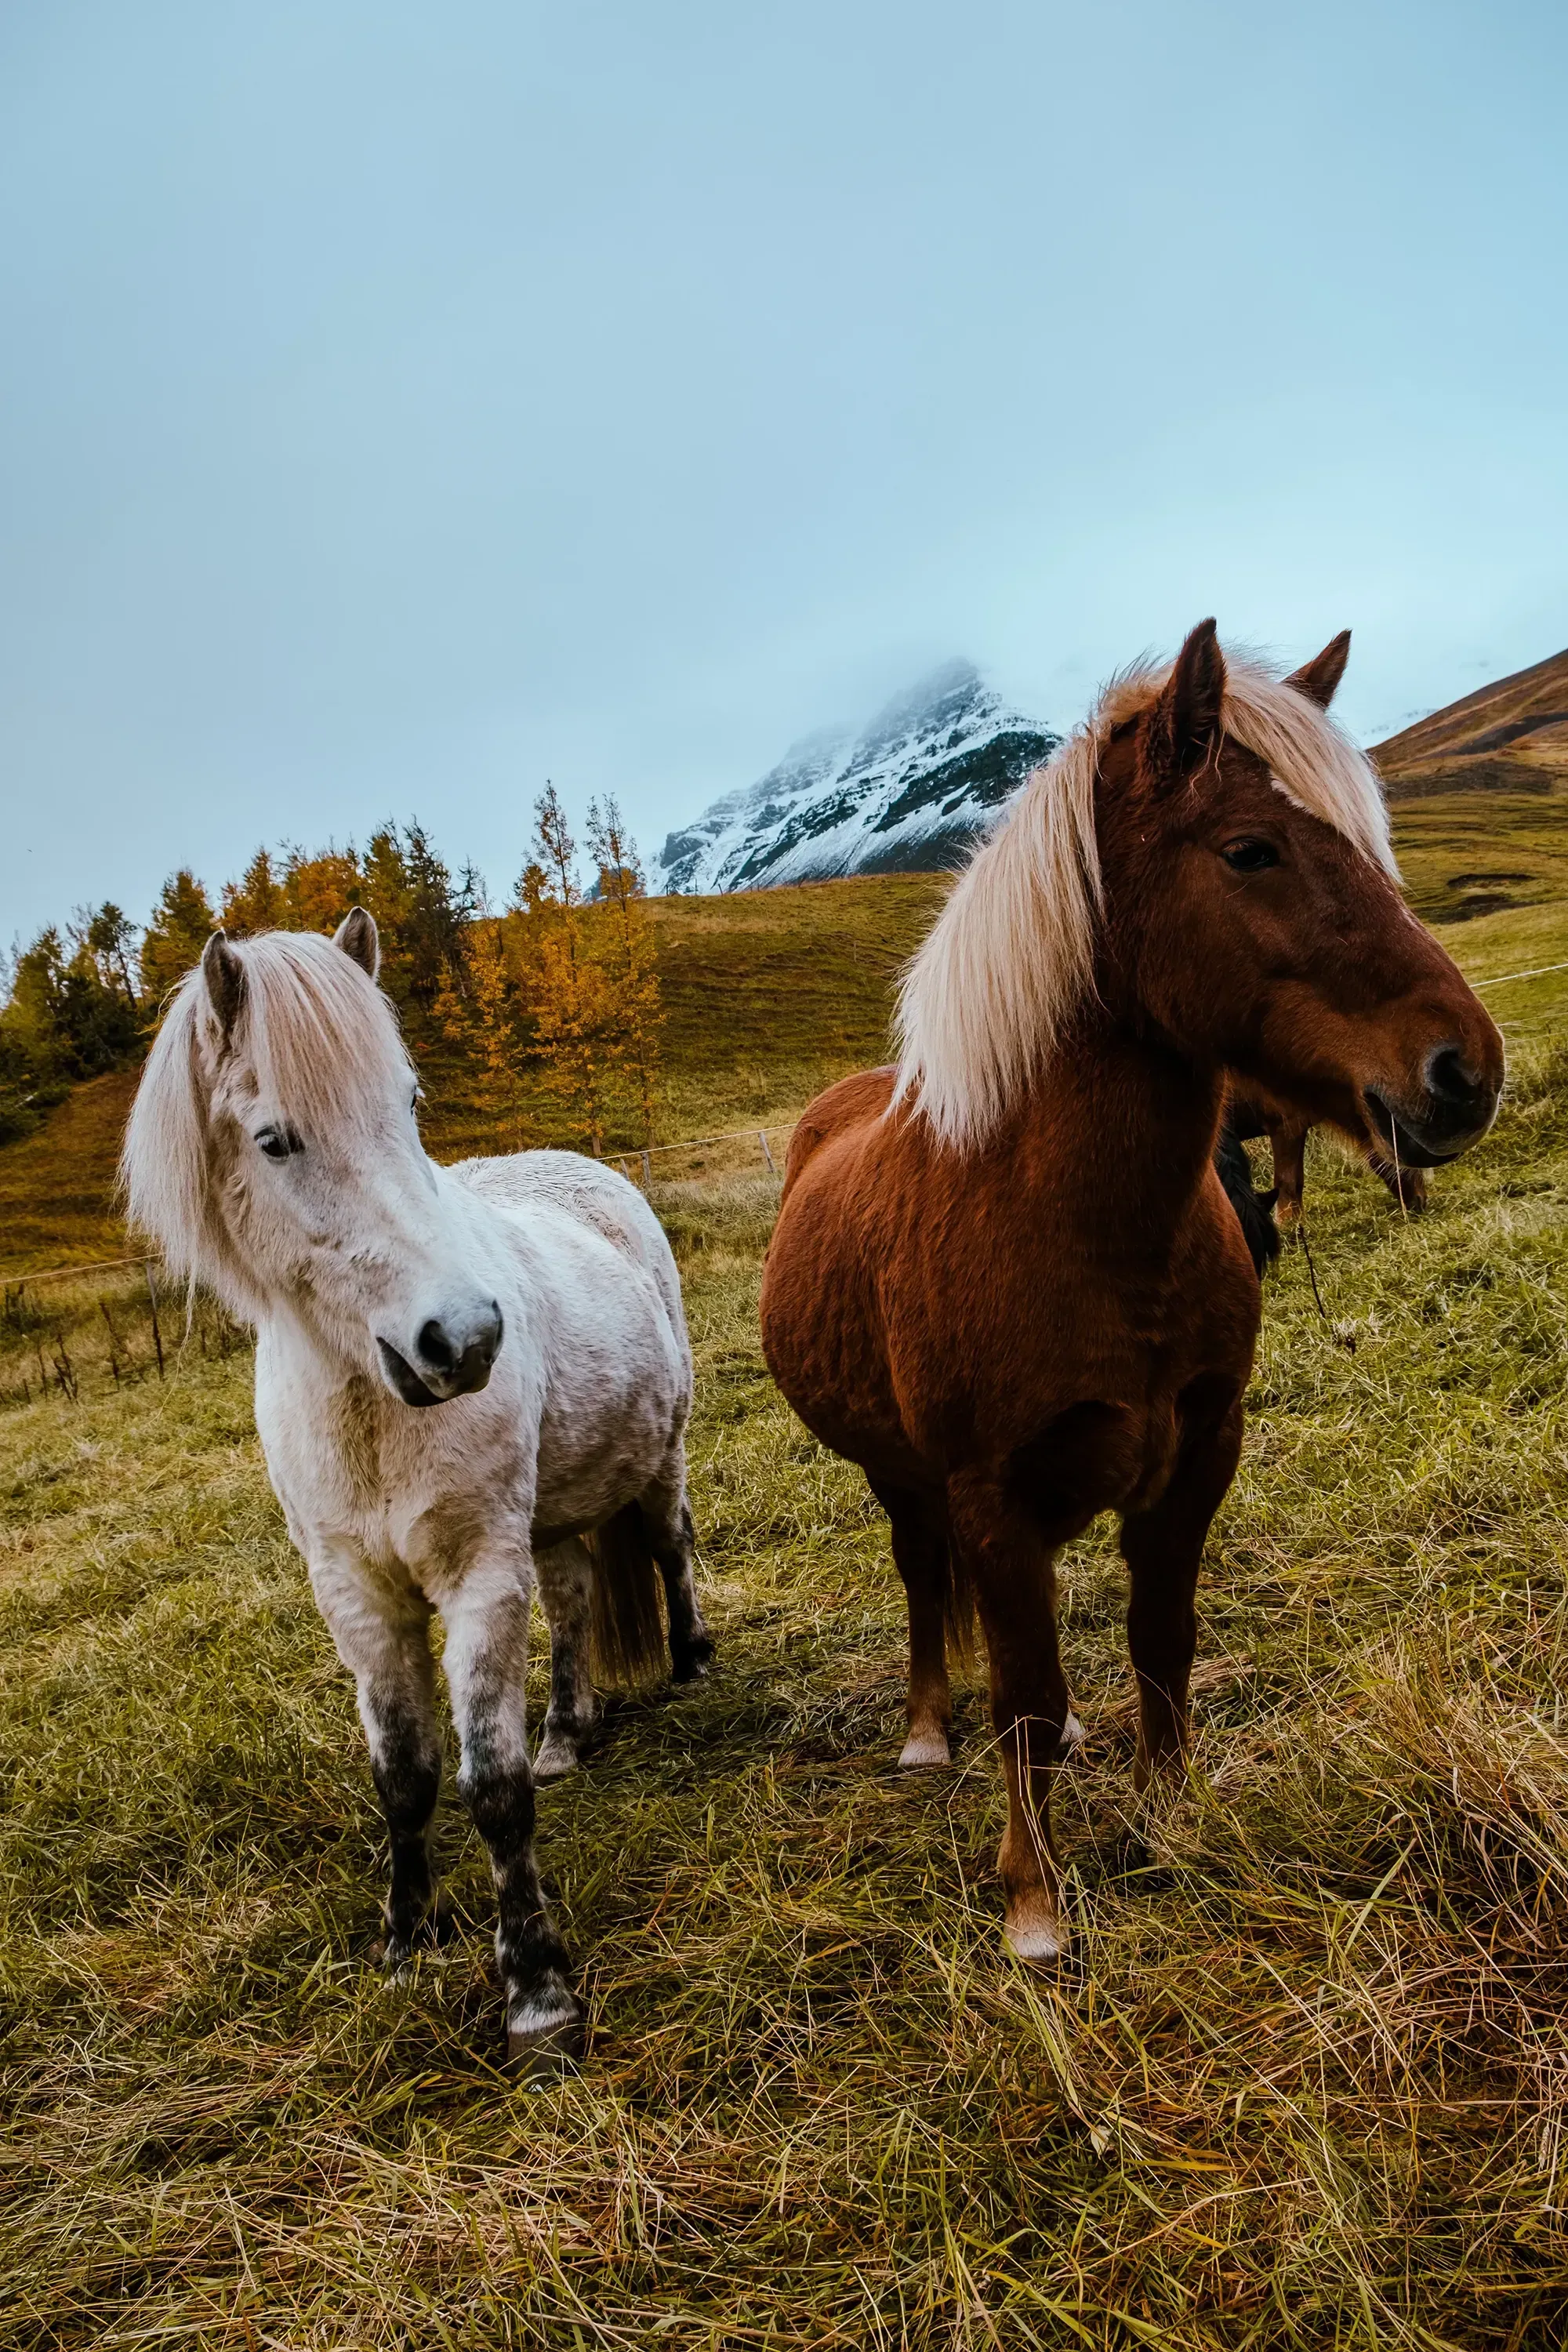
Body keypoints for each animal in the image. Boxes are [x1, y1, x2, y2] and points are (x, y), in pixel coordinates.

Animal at [121, 912, 712, 2069]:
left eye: (407, 1104)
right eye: (274, 1141)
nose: (467, 1340)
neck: (367, 1408)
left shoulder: (479, 1572)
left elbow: (490, 1786)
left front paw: (535, 1989)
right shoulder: (356, 1596)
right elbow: (404, 1774)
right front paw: (407, 1942)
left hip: (654, 1463)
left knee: (668, 1547)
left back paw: (693, 1658)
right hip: (552, 1517)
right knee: (576, 1595)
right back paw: (568, 1731)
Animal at [759, 621, 1503, 1963]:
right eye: (1251, 850)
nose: (1465, 1073)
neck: (1074, 1225)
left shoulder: (1202, 1447)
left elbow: (1160, 1640)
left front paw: (1174, 1812)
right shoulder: (989, 1490)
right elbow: (1025, 1691)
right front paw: (1034, 1901)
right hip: (902, 1479)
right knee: (925, 1589)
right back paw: (927, 1732)